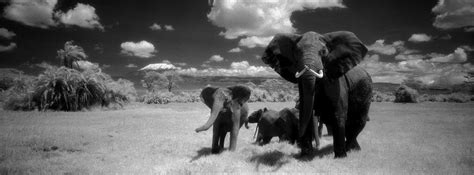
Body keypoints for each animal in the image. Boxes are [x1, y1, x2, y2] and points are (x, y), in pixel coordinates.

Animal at [262, 30, 372, 158]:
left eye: (323, 52)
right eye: (296, 52)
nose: (316, 147)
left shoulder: (337, 83)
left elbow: (338, 115)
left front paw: (340, 157)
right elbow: (306, 113)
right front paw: (305, 156)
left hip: (366, 91)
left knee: (358, 122)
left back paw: (352, 149)